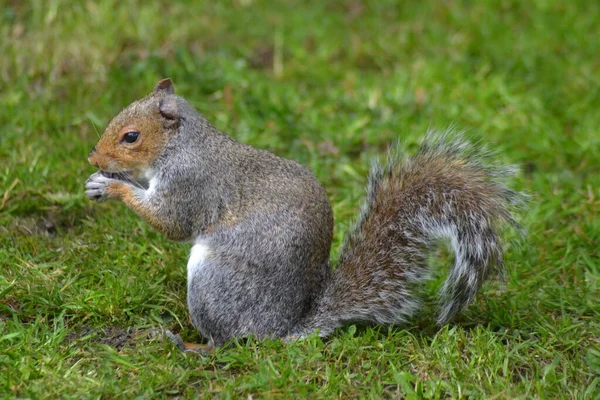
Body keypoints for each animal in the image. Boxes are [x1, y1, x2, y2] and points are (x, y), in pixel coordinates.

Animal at [85, 79, 524, 352]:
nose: (93, 158)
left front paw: (112, 186)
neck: (182, 145)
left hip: (216, 282)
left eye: (131, 137)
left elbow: (170, 221)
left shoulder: (190, 184)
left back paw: (190, 345)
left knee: (228, 342)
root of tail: (283, 330)